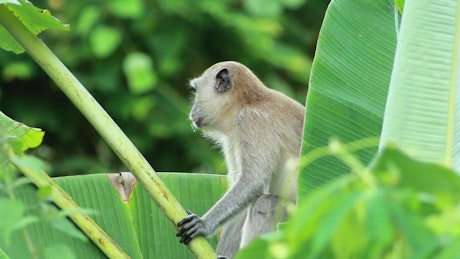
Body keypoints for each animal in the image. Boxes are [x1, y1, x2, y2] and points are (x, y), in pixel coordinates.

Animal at [177, 60, 306, 258]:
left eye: (195, 92)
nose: (192, 111)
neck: (249, 102)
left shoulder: (252, 122)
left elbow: (253, 182)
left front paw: (204, 225)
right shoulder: (234, 136)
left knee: (265, 204)